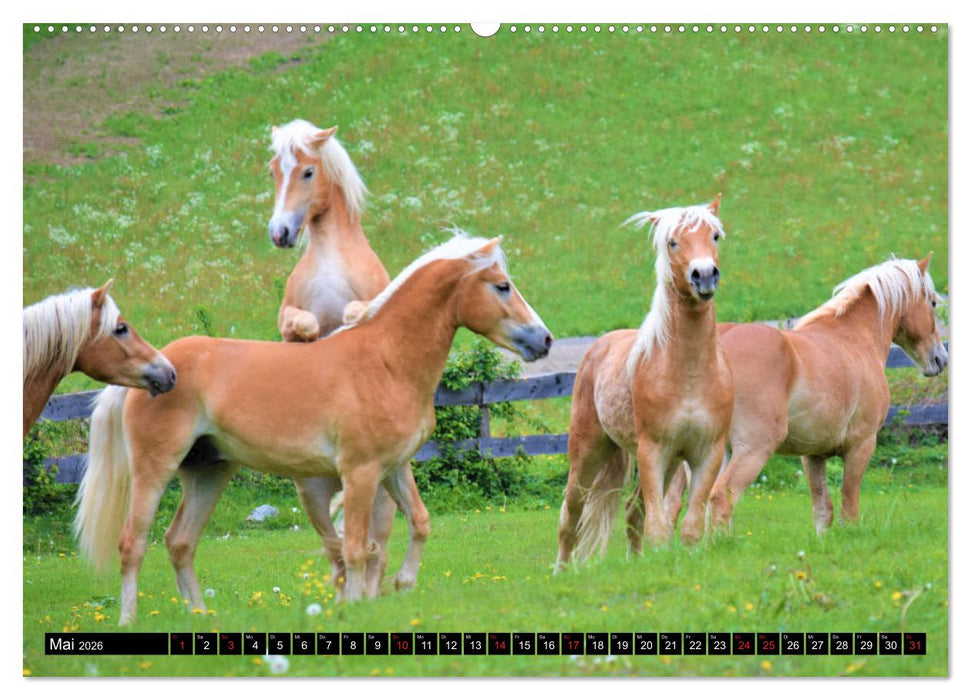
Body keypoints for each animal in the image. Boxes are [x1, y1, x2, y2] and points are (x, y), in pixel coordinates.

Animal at [75, 234, 553, 624]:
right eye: (502, 285)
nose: (544, 340)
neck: (386, 361)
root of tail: (159, 369)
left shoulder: (394, 467)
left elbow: (418, 522)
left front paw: (403, 585)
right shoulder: (360, 472)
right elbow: (356, 547)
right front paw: (357, 607)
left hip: (208, 471)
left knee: (180, 542)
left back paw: (200, 616)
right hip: (155, 469)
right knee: (133, 543)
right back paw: (129, 620)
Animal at [267, 118, 391, 341]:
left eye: (308, 172)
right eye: (272, 172)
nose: (279, 233)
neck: (329, 257)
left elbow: (353, 311)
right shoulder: (286, 319)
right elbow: (307, 322)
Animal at [555, 196, 733, 569]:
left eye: (714, 236)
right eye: (673, 242)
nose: (704, 275)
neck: (689, 374)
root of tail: (598, 346)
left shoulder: (706, 453)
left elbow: (689, 525)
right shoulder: (653, 452)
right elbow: (659, 528)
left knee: (632, 511)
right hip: (587, 452)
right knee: (572, 514)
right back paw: (561, 571)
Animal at [660, 255, 947, 535]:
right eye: (933, 302)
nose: (940, 359)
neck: (853, 337)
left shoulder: (813, 455)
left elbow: (823, 510)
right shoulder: (861, 446)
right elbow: (848, 509)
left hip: (711, 452)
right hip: (752, 449)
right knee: (720, 497)